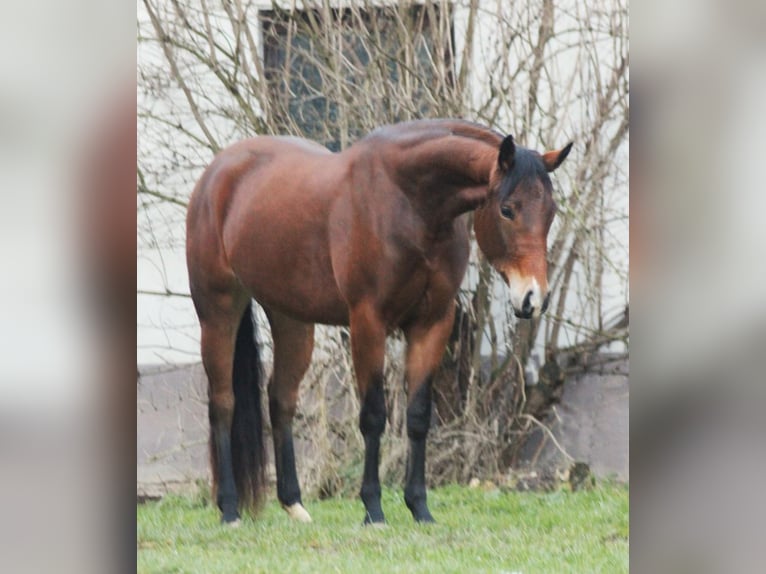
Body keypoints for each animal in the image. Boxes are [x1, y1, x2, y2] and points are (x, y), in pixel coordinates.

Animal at [185, 119, 572, 525]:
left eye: (551, 212)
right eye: (507, 210)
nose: (533, 298)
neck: (410, 201)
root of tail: (218, 172)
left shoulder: (432, 323)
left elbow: (418, 416)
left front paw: (419, 507)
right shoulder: (368, 322)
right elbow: (373, 415)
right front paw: (373, 508)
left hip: (292, 320)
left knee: (281, 400)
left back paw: (294, 505)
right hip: (218, 312)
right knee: (223, 402)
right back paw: (229, 508)